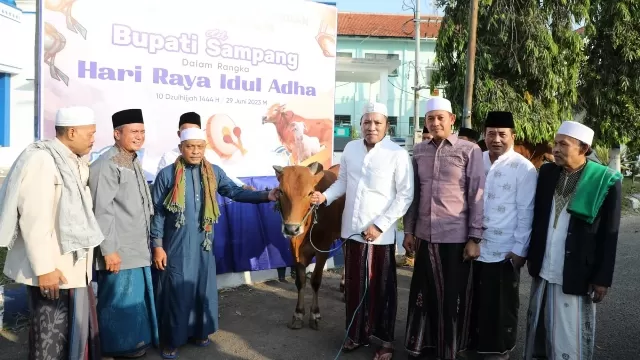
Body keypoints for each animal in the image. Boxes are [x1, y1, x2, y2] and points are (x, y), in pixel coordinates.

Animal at [274, 162, 348, 330]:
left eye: (310, 193)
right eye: (281, 191)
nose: (291, 229)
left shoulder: (323, 250)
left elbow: (315, 280)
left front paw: (314, 314)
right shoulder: (295, 251)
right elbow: (301, 281)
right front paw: (298, 314)